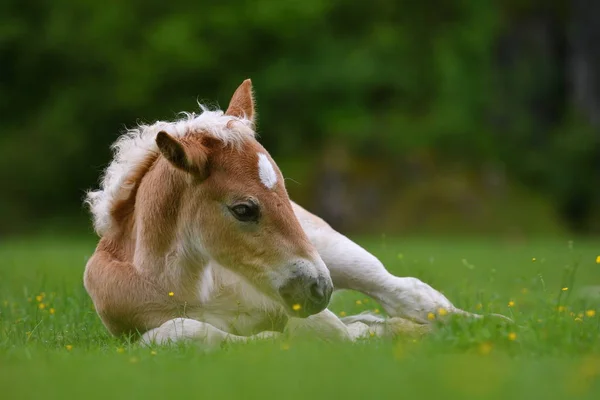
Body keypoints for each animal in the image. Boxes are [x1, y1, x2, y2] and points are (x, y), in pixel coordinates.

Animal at [83, 79, 478, 346]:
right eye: (243, 209)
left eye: (284, 193)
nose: (319, 289)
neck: (192, 288)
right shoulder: (136, 332)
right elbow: (191, 333)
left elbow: (332, 331)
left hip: (333, 249)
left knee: (407, 293)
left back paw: (482, 324)